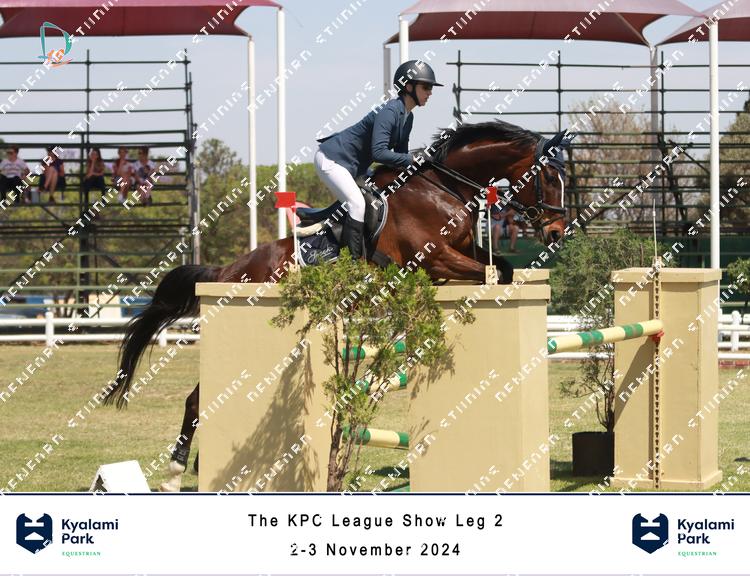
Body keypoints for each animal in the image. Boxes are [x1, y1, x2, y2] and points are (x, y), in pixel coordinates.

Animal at [103, 120, 572, 491]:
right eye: (550, 177)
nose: (556, 231)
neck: (444, 187)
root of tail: (228, 269)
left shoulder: (460, 255)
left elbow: (500, 267)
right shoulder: (435, 257)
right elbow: (497, 273)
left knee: (201, 399)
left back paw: (199, 466)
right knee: (195, 401)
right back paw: (174, 473)